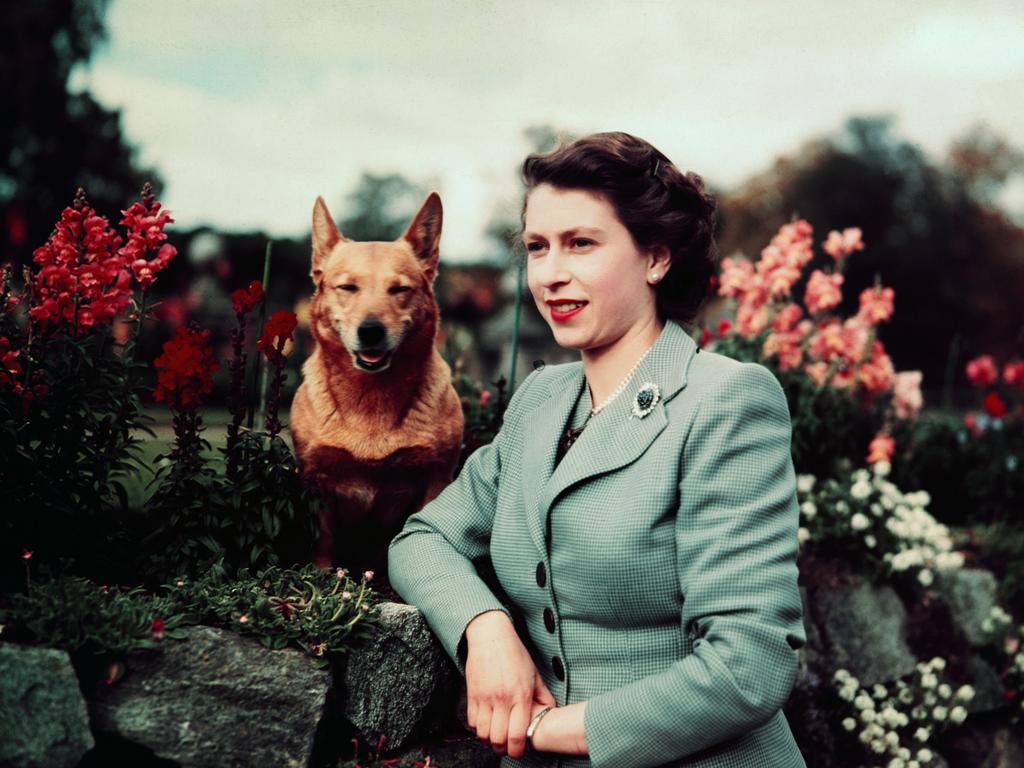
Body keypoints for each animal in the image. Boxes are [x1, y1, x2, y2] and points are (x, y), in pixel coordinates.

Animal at [290, 192, 462, 577]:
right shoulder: (315, 478)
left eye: (399, 289)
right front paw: (321, 578)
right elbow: (322, 542)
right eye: (347, 287)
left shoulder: (437, 478)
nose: (370, 331)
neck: (372, 398)